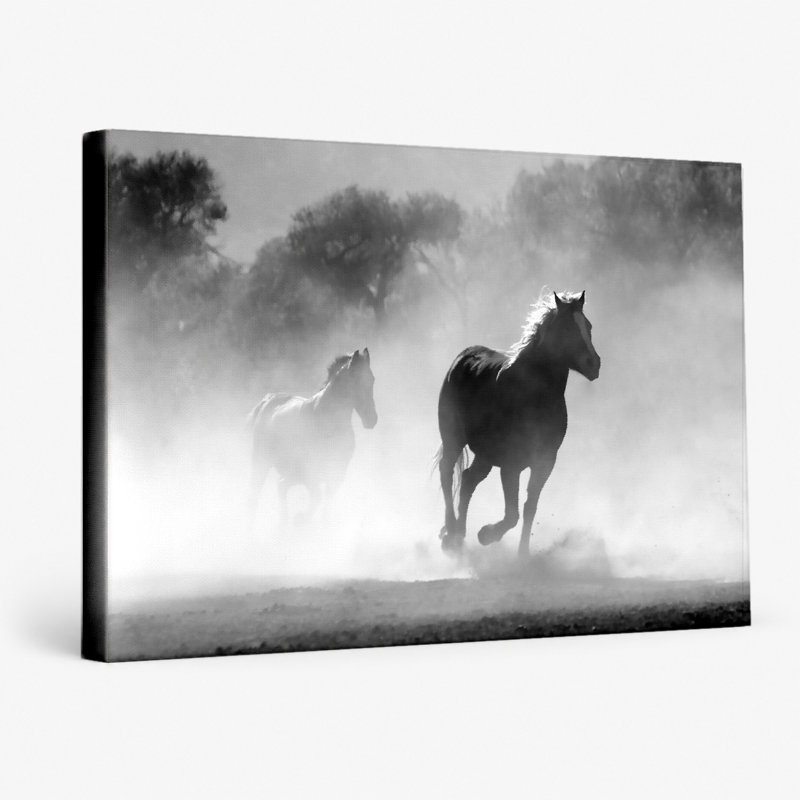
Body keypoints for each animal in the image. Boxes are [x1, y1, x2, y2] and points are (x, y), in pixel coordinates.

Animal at [247, 348, 377, 529]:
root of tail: (268, 400)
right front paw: (300, 519)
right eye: (356, 380)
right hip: (261, 462)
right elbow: (317, 500)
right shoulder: (311, 474)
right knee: (256, 494)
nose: (372, 419)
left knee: (281, 486)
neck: (328, 422)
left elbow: (325, 508)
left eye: (372, 379)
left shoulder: (336, 474)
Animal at [436, 290, 600, 557]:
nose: (593, 364)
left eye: (588, 326)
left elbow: (529, 507)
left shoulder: (544, 462)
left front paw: (523, 554)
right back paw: (450, 532)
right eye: (567, 328)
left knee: (469, 480)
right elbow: (512, 514)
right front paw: (486, 534)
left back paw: (459, 534)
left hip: (485, 455)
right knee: (447, 472)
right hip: (453, 440)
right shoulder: (511, 465)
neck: (533, 396)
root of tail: (463, 357)